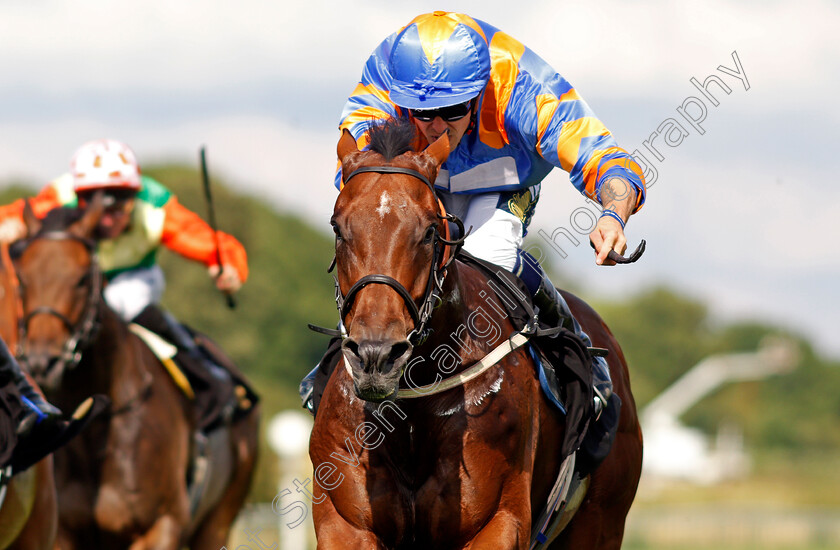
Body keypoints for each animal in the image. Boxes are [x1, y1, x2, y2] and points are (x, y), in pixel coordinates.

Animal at [8, 202, 260, 550]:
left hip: (218, 522)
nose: (42, 362)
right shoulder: (62, 532)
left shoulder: (162, 525)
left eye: (83, 279)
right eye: (21, 278)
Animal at [308, 118, 644, 548]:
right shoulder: (346, 524)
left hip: (601, 521)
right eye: (338, 228)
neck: (414, 400)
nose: (375, 356)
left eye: (430, 231)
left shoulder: (497, 522)